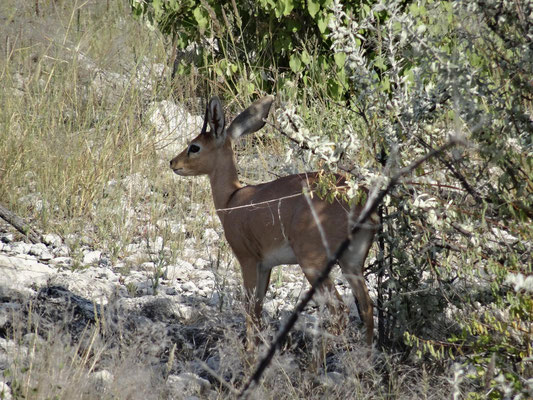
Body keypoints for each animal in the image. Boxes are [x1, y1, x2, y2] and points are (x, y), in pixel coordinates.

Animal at [169, 96, 374, 346]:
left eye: (194, 147)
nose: (173, 163)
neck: (233, 199)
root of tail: (358, 198)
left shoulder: (247, 260)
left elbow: (249, 307)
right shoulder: (265, 266)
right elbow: (258, 309)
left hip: (314, 264)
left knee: (339, 311)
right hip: (352, 262)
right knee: (366, 307)